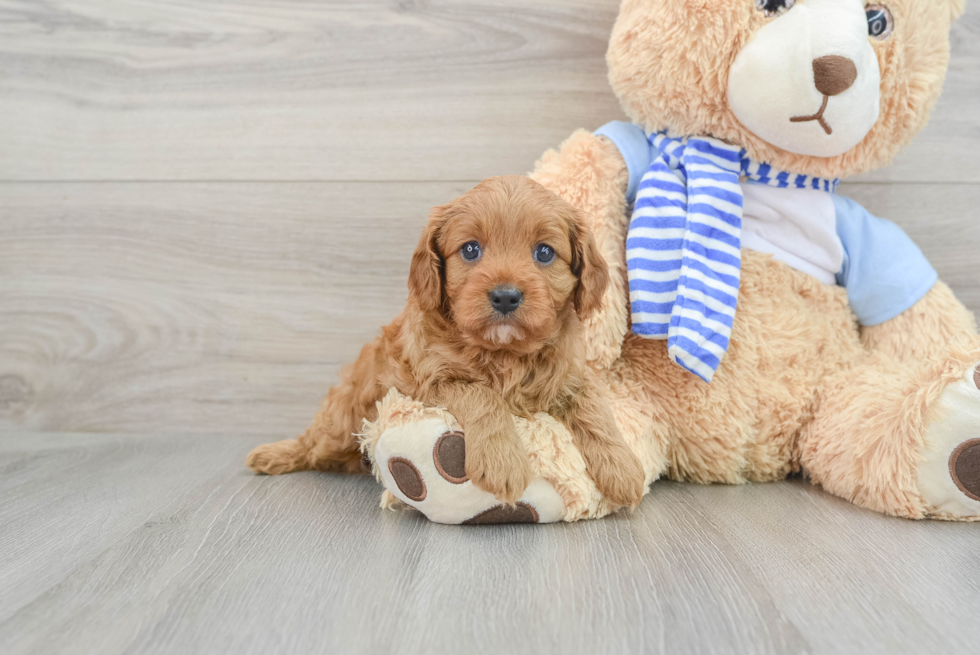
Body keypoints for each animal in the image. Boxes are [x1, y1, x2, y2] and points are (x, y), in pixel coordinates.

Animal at [245, 177, 648, 510]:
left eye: (545, 253)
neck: (504, 353)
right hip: (342, 419)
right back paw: (273, 455)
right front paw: (502, 461)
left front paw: (624, 469)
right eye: (470, 250)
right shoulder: (426, 380)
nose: (505, 296)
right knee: (313, 443)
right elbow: (482, 395)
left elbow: (595, 408)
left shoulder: (570, 375)